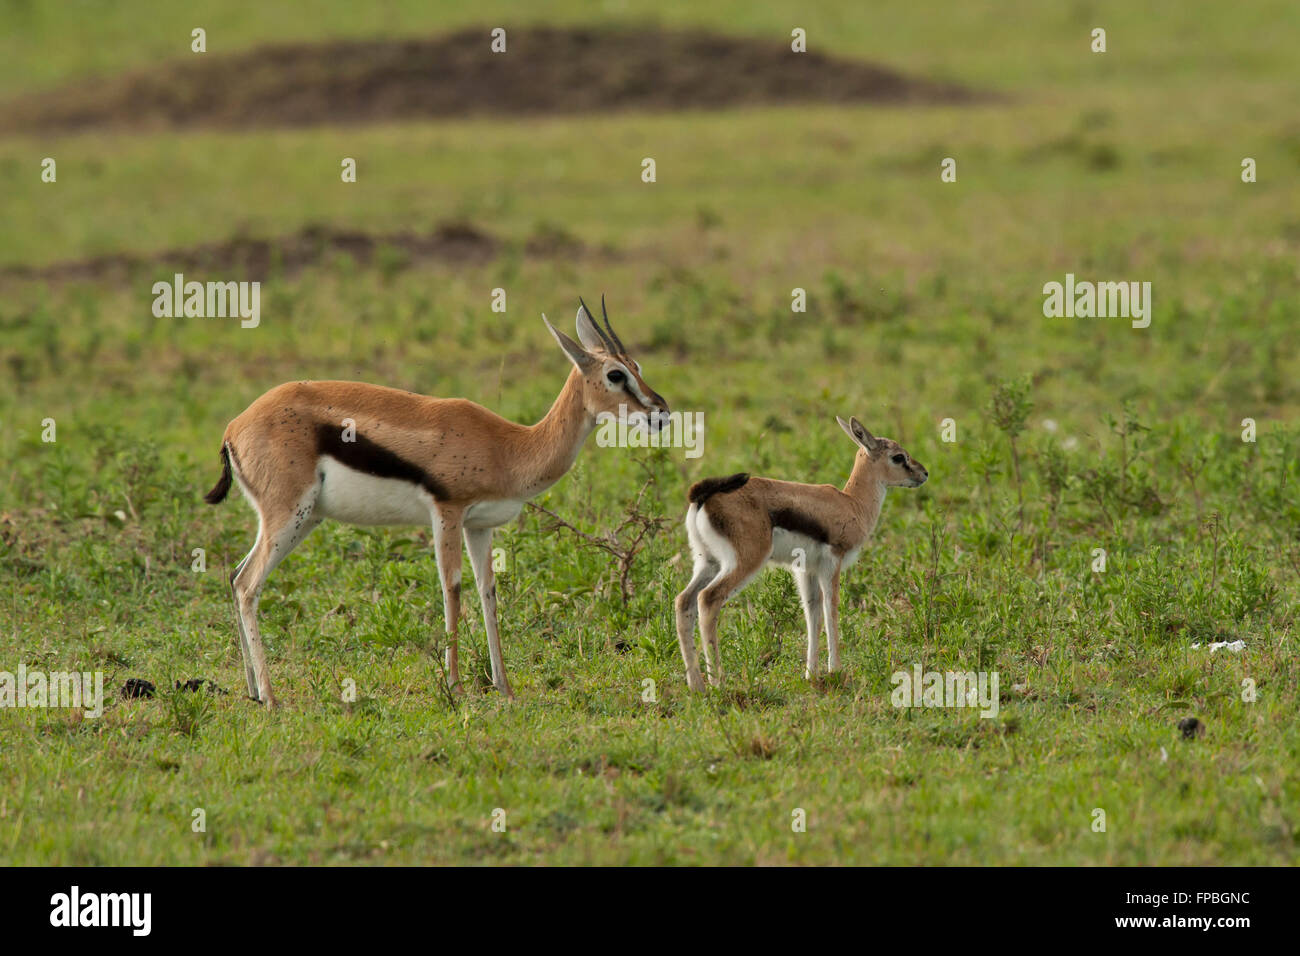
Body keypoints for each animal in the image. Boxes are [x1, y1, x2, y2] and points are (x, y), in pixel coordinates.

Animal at [204, 298, 668, 706]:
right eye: (615, 375)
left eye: (638, 368)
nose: (661, 412)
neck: (509, 447)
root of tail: (234, 426)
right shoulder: (447, 512)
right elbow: (453, 588)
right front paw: (456, 686)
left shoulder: (479, 525)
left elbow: (487, 592)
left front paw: (504, 688)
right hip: (288, 515)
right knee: (248, 584)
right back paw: (271, 696)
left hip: (304, 519)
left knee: (236, 576)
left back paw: (251, 690)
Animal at [674, 416, 927, 691]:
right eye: (898, 457)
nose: (924, 473)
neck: (851, 504)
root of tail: (703, 495)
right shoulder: (831, 563)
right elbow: (831, 609)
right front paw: (836, 671)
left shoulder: (805, 569)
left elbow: (812, 613)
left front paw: (811, 674)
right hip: (744, 563)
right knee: (708, 599)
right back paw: (718, 682)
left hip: (708, 563)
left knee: (684, 601)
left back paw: (696, 685)